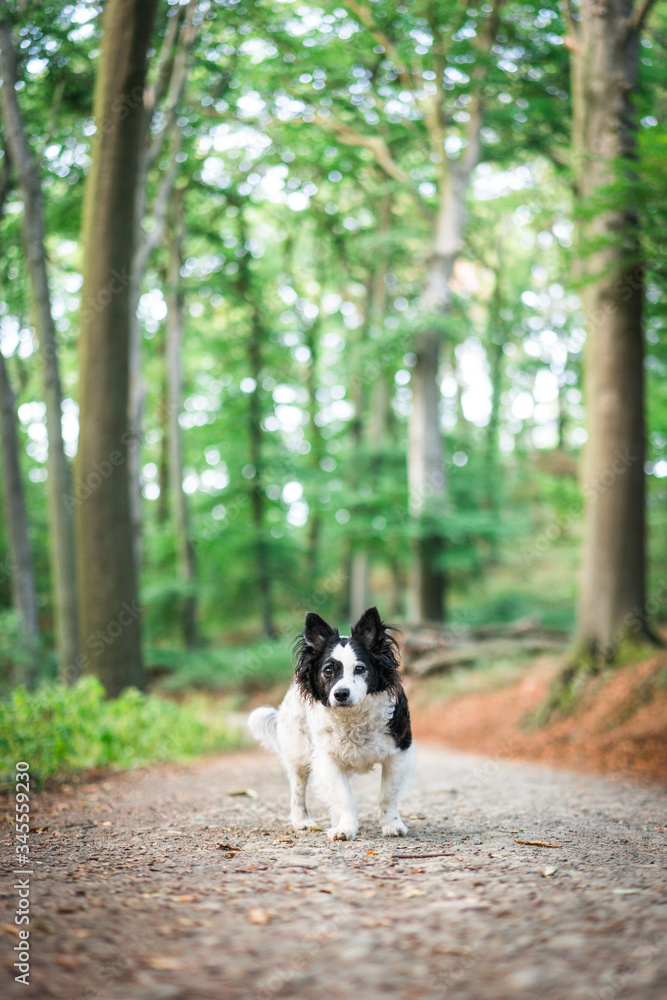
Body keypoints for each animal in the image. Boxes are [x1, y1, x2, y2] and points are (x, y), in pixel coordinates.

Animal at [248, 604, 412, 840]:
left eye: (360, 669)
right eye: (328, 670)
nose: (341, 693)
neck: (353, 717)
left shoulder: (398, 751)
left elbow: (387, 795)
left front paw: (391, 824)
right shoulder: (328, 760)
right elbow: (345, 799)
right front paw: (346, 828)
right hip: (298, 754)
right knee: (297, 790)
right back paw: (302, 821)